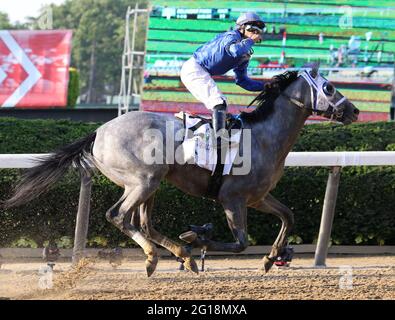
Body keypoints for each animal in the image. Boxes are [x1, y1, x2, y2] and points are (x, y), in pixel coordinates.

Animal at [4, 64, 360, 276]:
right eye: (329, 87)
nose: (354, 111)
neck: (264, 137)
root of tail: (99, 132)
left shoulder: (258, 197)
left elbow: (288, 216)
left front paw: (271, 258)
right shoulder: (232, 199)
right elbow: (240, 243)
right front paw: (196, 237)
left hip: (151, 183)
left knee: (143, 223)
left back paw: (175, 254)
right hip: (143, 180)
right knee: (118, 216)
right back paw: (161, 254)